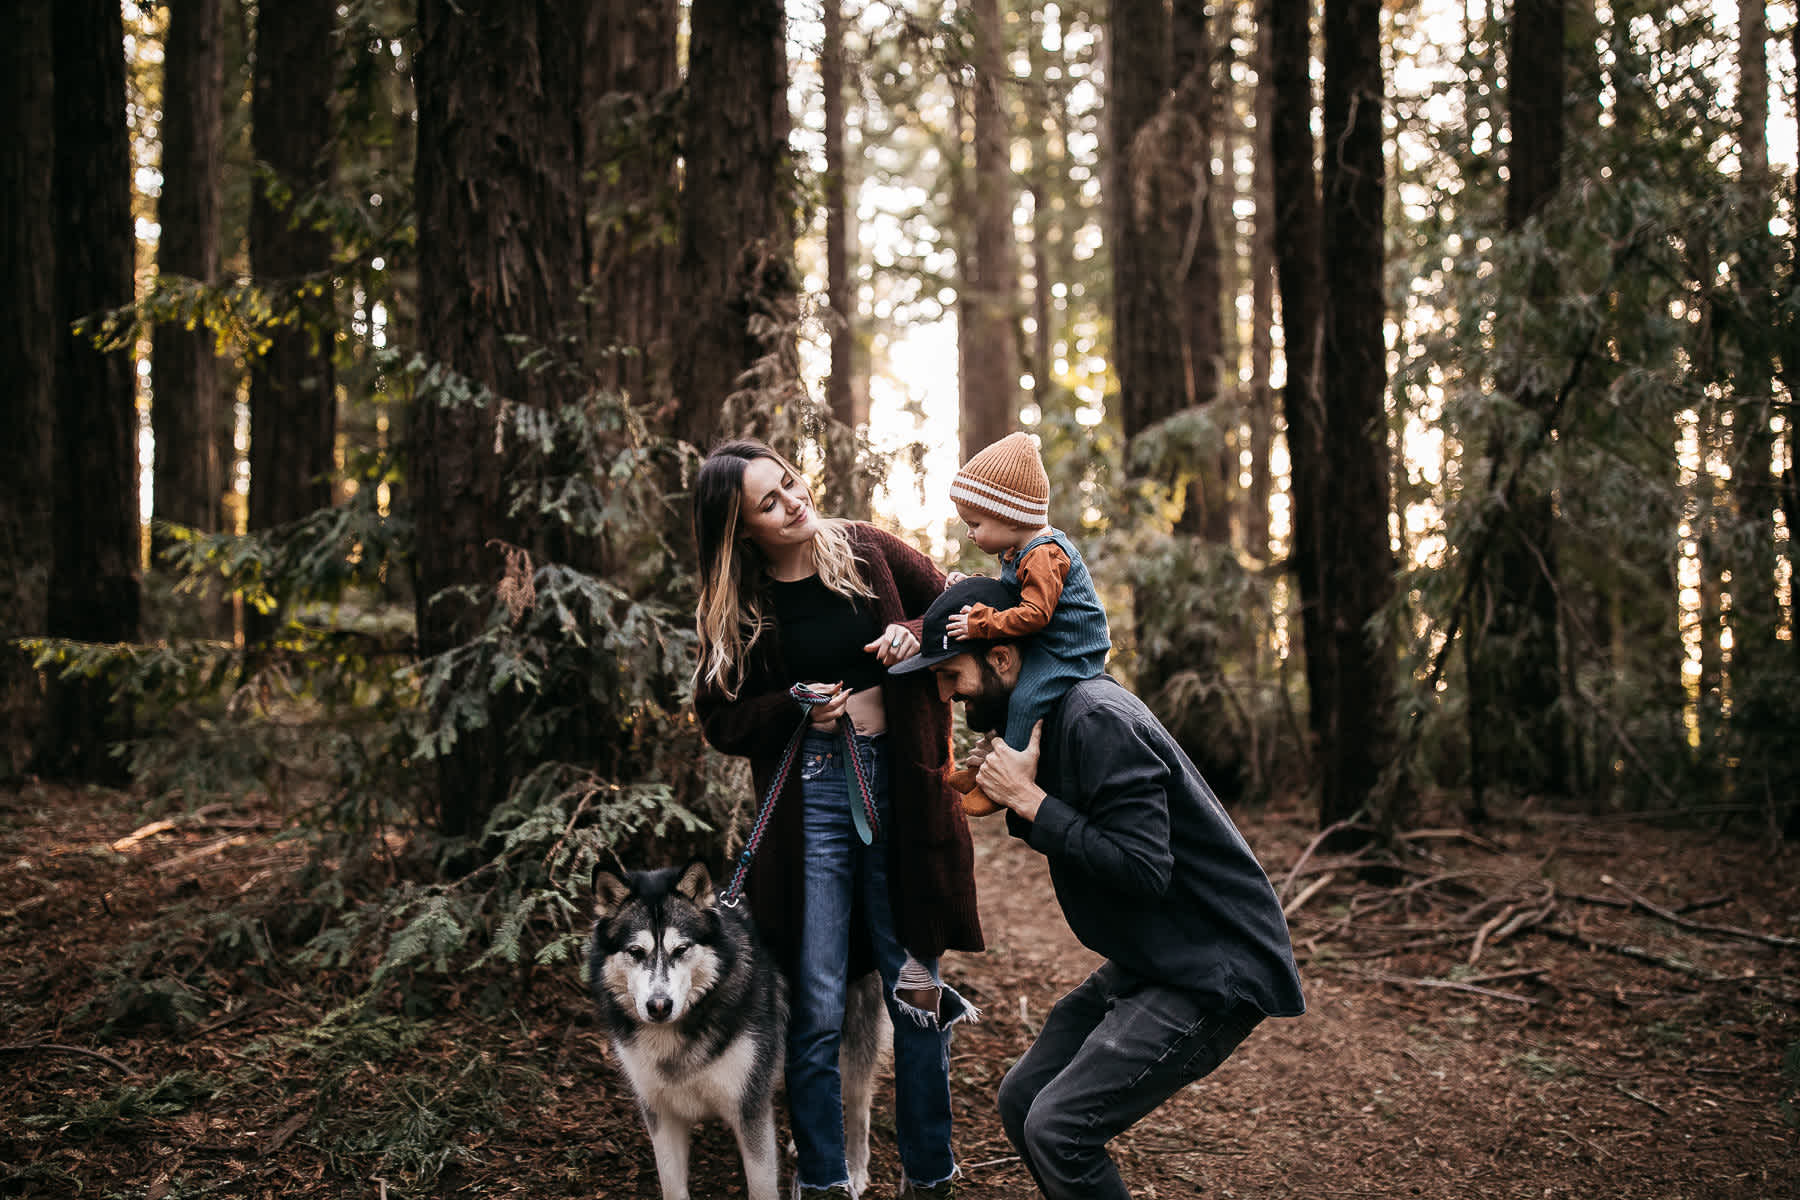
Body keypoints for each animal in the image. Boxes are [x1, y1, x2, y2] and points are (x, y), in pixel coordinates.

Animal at [590, 859, 892, 1194]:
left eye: (681, 949)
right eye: (635, 952)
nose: (658, 1006)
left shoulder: (750, 1109)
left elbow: (762, 1188)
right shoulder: (661, 1112)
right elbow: (672, 1187)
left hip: (853, 1037)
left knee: (858, 1103)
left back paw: (854, 1168)